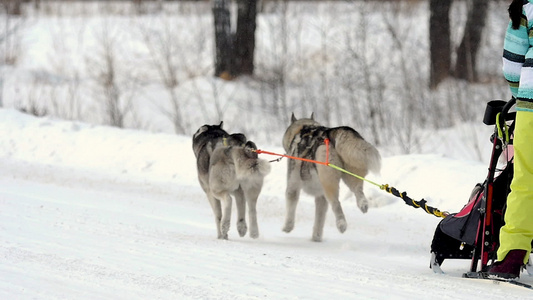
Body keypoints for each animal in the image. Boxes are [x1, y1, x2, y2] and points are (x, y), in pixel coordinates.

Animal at [280, 112, 380, 241]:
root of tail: (329, 132)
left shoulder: (293, 187)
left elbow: (291, 207)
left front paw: (287, 227)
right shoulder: (321, 197)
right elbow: (319, 219)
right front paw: (316, 238)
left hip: (328, 181)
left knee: (336, 203)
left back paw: (341, 224)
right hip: (350, 173)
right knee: (358, 191)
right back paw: (363, 204)